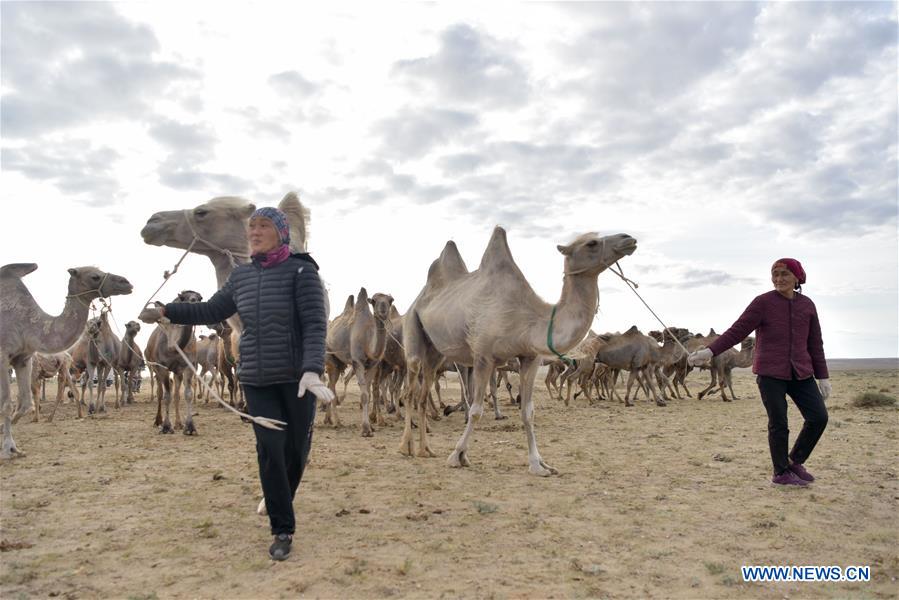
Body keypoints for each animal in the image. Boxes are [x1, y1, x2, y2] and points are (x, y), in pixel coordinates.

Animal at [0, 264, 133, 460]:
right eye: (95, 276)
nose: (126, 282)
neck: (29, 324)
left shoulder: (22, 359)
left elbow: (24, 402)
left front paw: (12, 446)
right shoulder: (3, 356)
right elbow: (7, 404)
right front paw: (7, 449)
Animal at [398, 227, 636, 476]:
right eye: (591, 243)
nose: (628, 238)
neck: (530, 319)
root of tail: (420, 299)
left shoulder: (530, 357)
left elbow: (528, 412)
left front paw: (539, 465)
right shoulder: (483, 356)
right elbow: (476, 410)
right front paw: (457, 455)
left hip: (435, 353)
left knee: (423, 392)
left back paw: (425, 449)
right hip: (413, 327)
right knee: (410, 388)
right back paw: (405, 447)